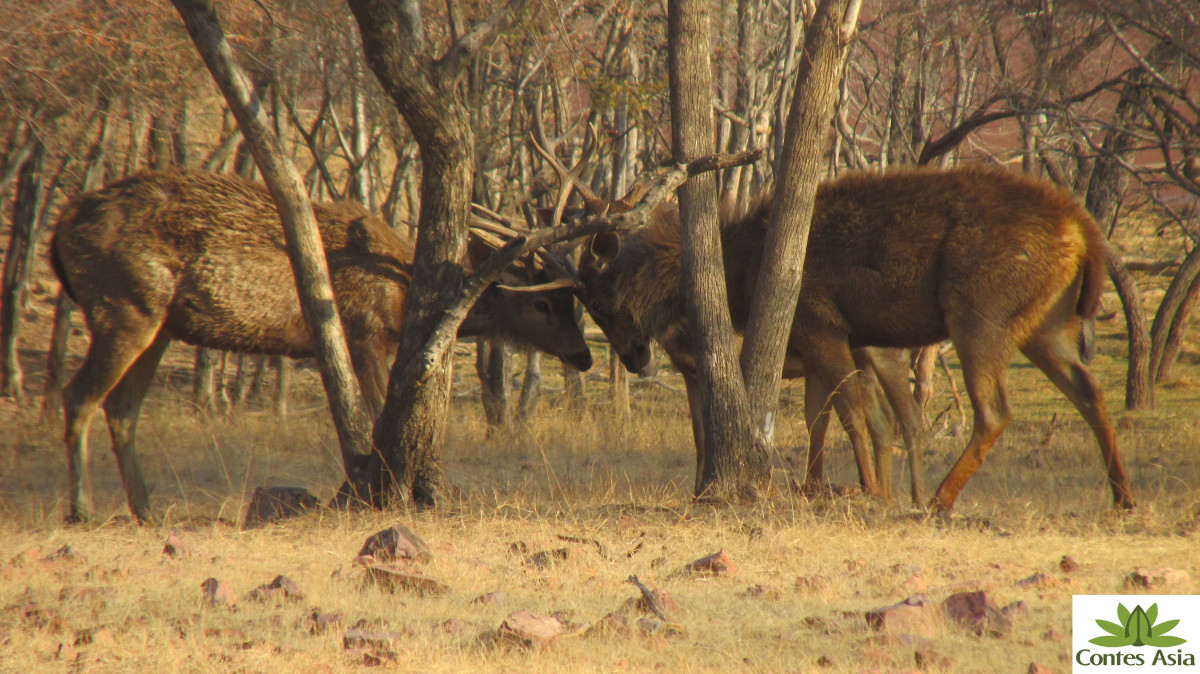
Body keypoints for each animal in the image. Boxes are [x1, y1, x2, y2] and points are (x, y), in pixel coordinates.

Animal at [52, 167, 595, 520]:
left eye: (571, 301)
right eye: (543, 304)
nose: (585, 356)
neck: (401, 291)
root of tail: (60, 232)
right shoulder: (365, 331)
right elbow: (375, 415)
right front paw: (383, 488)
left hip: (160, 324)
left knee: (122, 407)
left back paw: (145, 509)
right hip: (123, 304)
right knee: (78, 395)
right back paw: (80, 509)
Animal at [542, 131, 1132, 508]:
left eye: (599, 298)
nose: (630, 356)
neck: (741, 271)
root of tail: (1084, 232)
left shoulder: (818, 322)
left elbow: (846, 414)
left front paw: (866, 488)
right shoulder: (829, 341)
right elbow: (828, 417)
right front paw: (844, 487)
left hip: (978, 312)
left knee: (992, 410)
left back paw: (938, 501)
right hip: (1045, 324)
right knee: (1089, 390)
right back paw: (1122, 495)